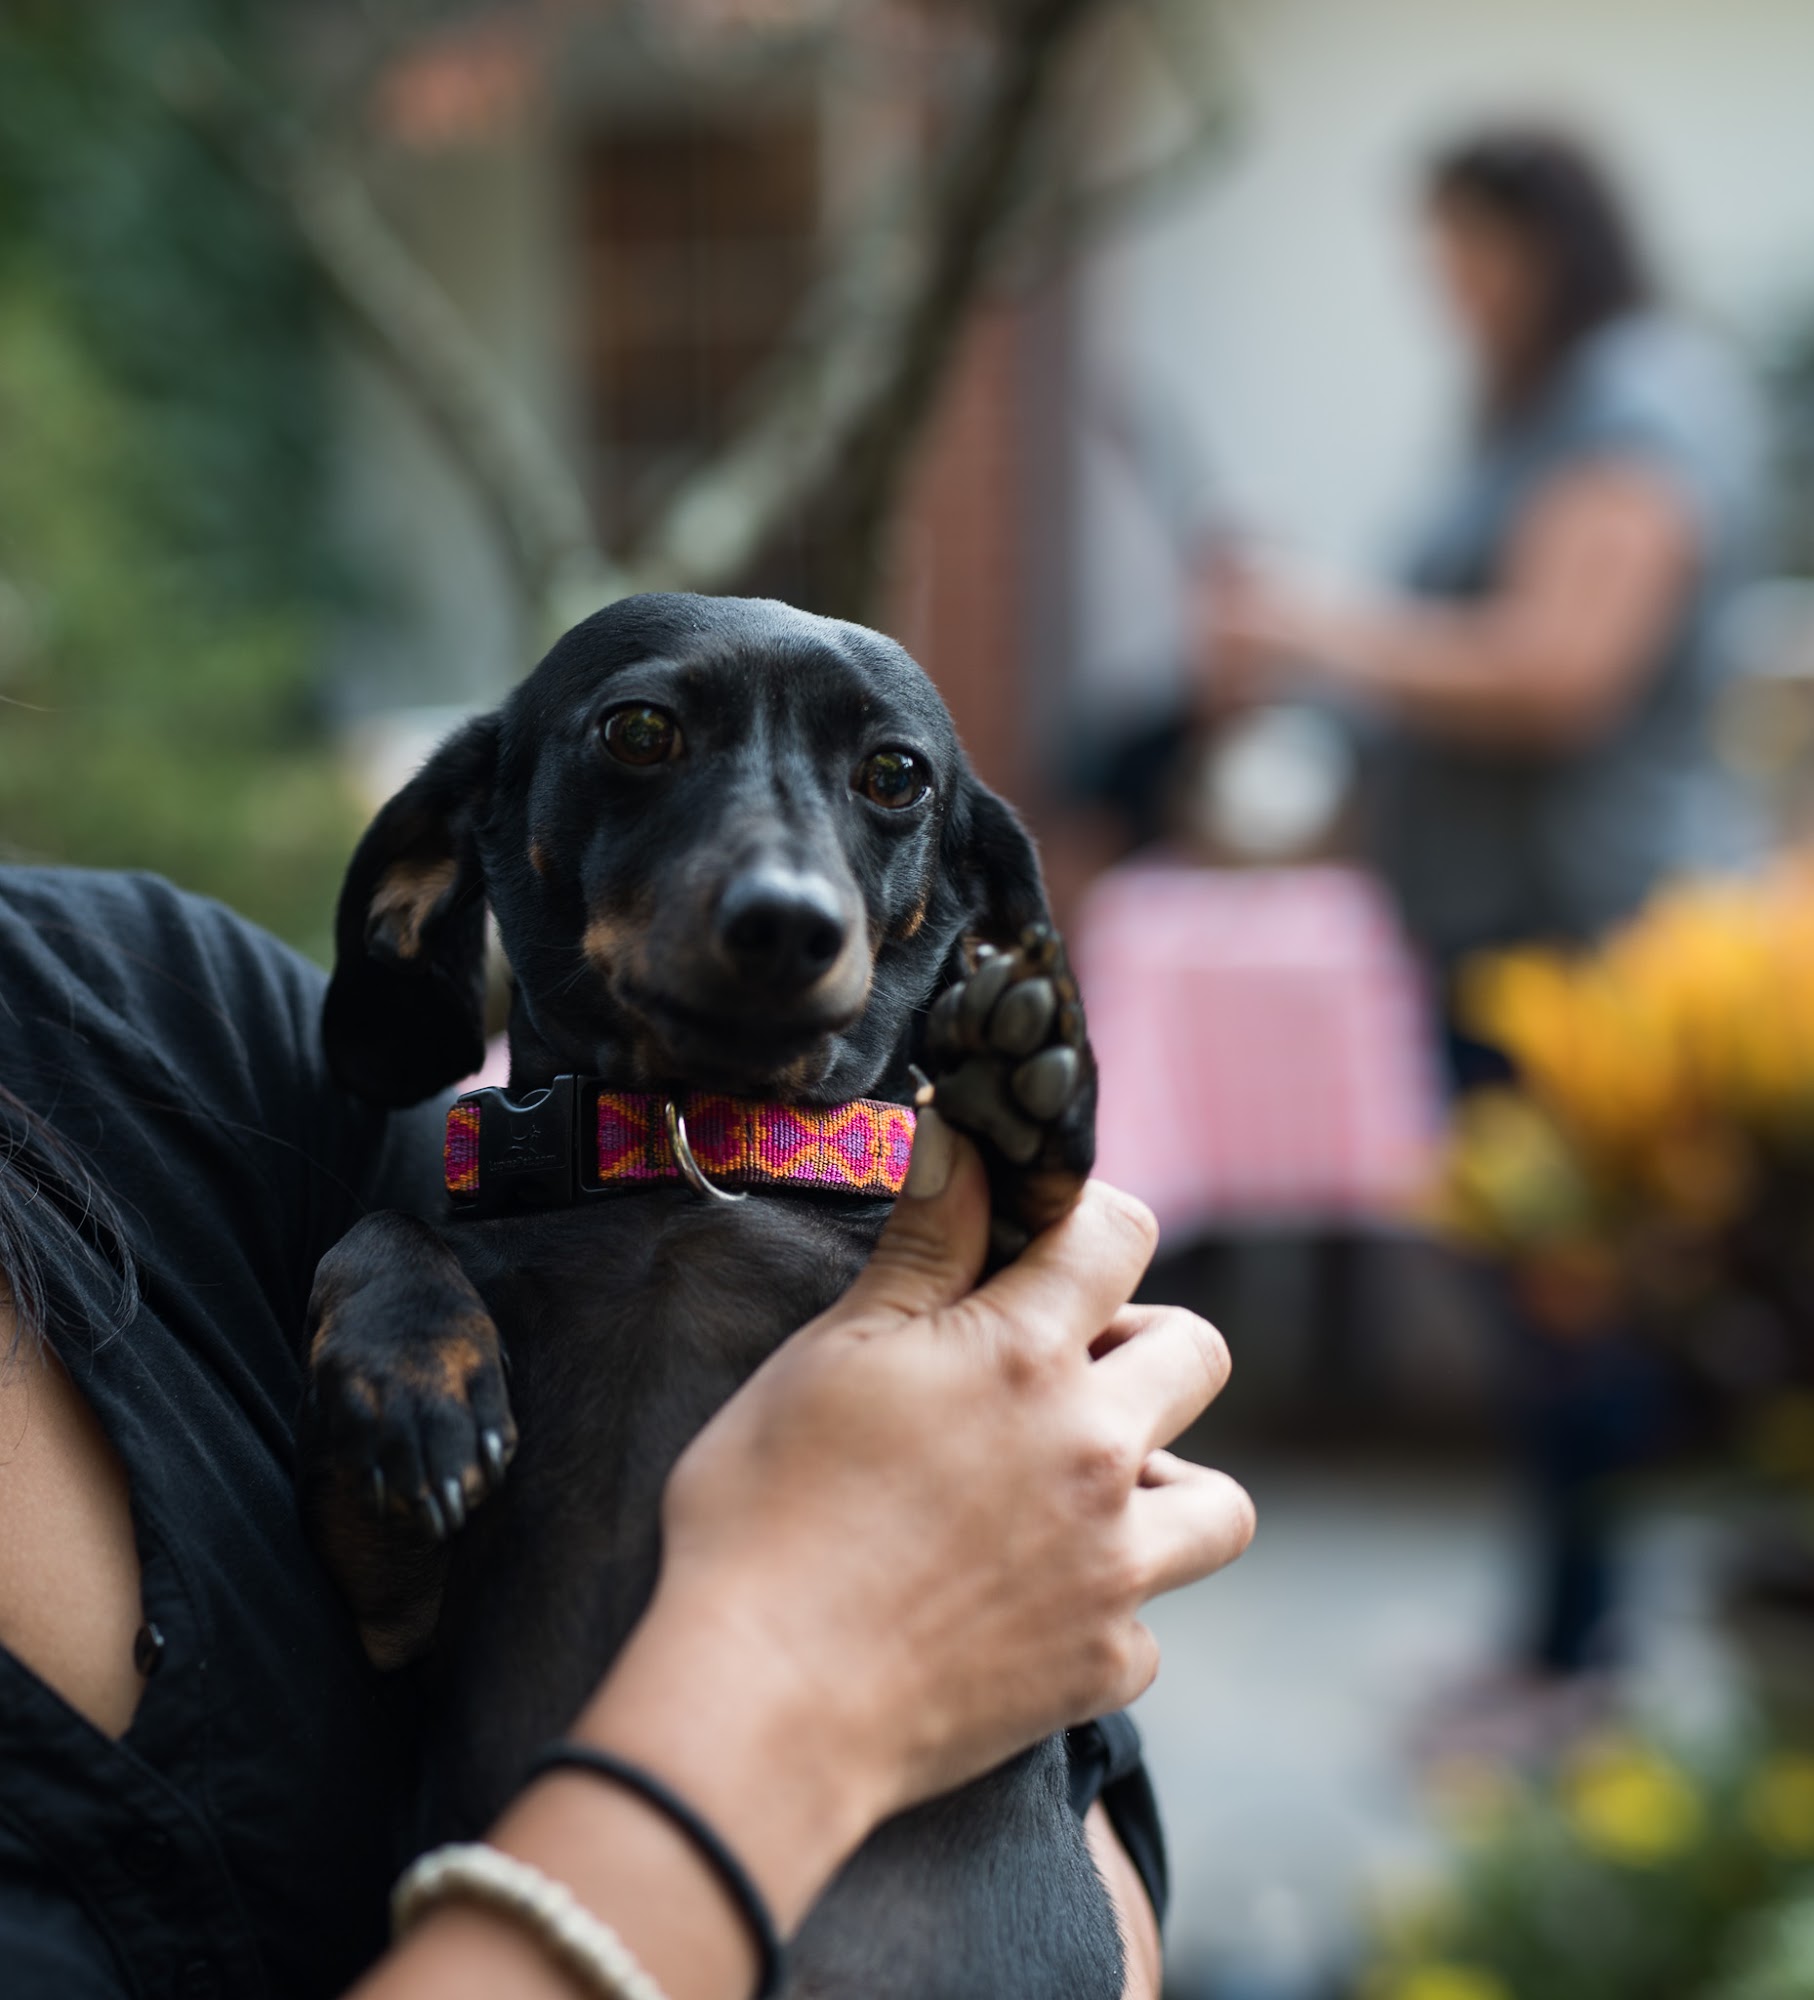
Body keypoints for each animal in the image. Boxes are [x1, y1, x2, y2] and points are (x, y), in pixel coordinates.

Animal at [306, 592, 1112, 2000]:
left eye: (895, 773)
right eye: (639, 730)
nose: (788, 922)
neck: (694, 1153)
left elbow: (1016, 1215)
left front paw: (1019, 1100)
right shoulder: (392, 1606)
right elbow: (384, 1226)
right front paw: (412, 1376)